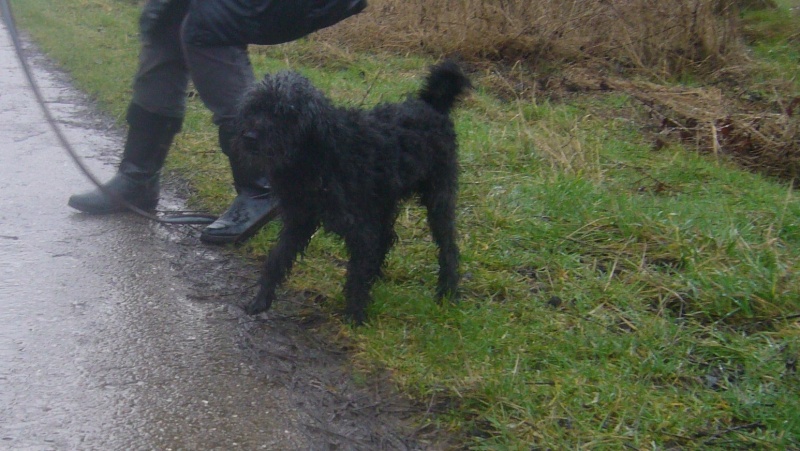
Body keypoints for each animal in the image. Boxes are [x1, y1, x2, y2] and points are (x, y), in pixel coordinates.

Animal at [233, 61, 468, 324]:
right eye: (254, 108)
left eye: (283, 113)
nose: (250, 137)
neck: (316, 153)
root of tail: (431, 104)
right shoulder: (299, 220)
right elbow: (277, 258)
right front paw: (260, 300)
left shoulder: (358, 226)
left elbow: (356, 273)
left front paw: (355, 316)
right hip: (383, 200)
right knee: (385, 238)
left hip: (438, 197)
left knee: (448, 247)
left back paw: (448, 292)